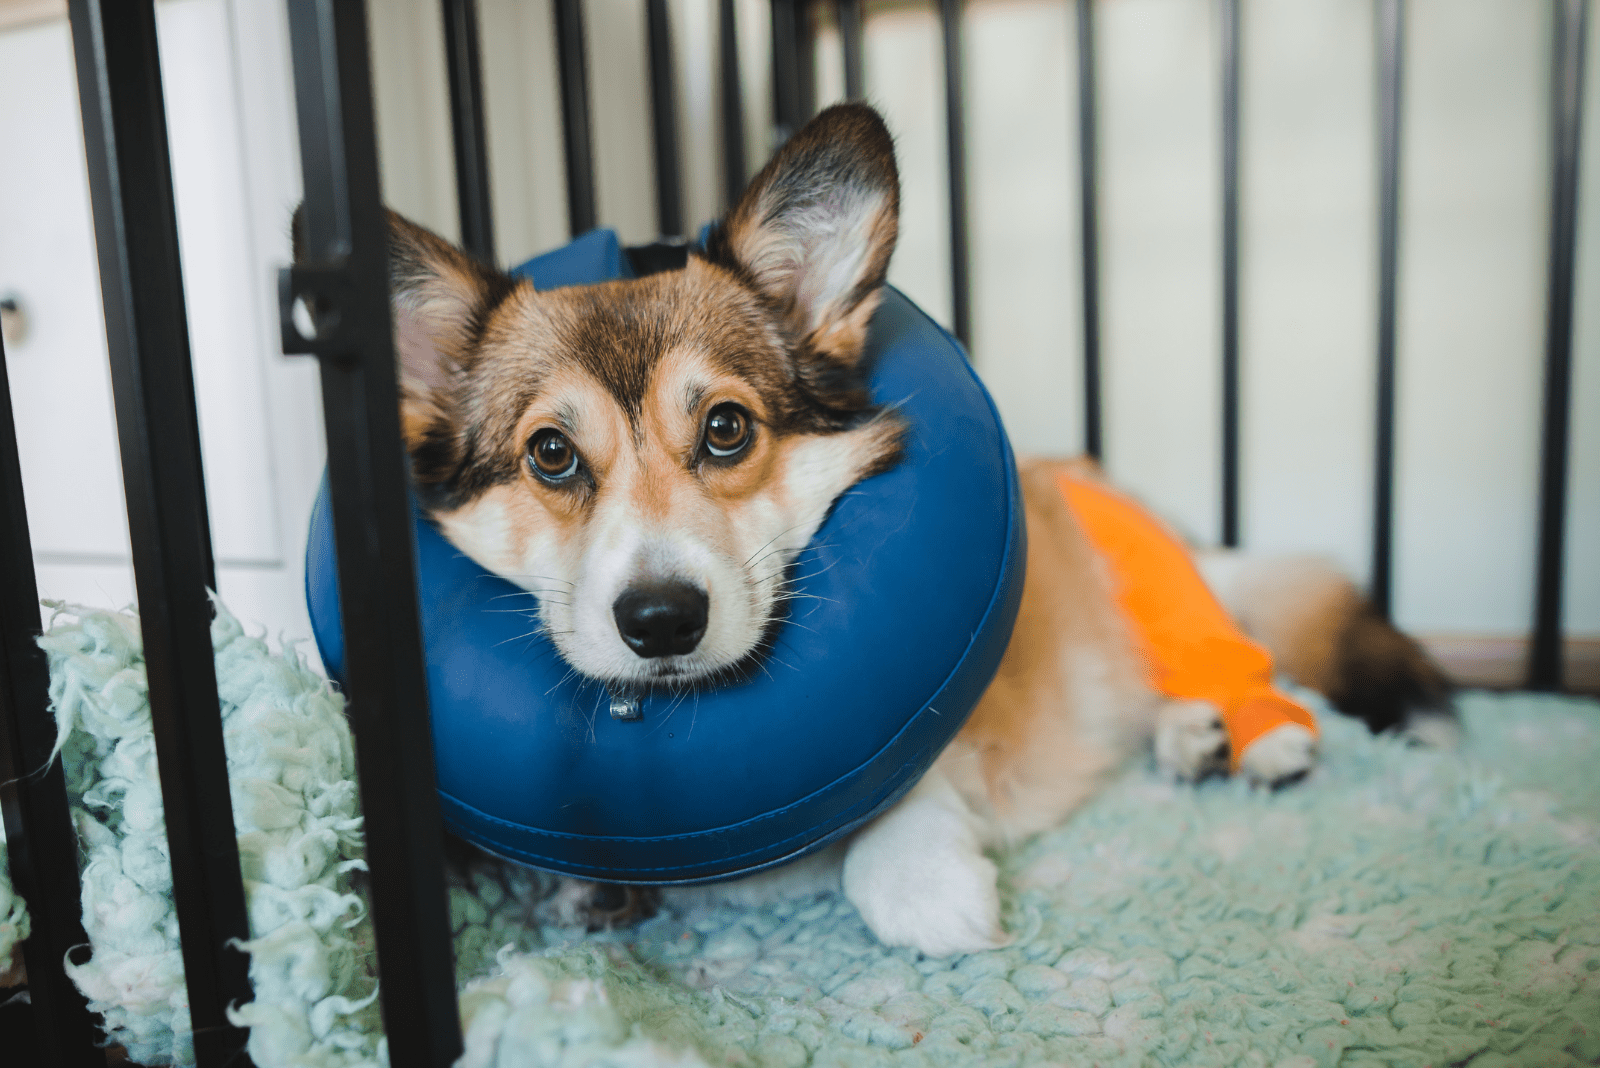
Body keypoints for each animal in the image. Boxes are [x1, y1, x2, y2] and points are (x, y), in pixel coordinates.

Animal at [340, 102, 1465, 959]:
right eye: (550, 455)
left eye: (726, 427)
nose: (660, 622)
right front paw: (589, 890)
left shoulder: (967, 719)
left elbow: (905, 803)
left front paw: (929, 893)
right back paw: (1191, 740)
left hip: (1164, 598)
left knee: (1228, 661)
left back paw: (1249, 737)